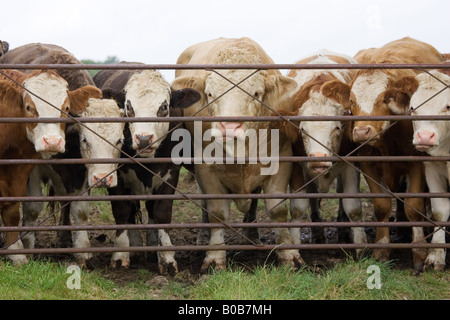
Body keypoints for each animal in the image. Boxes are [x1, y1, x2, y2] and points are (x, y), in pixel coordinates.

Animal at [0, 69, 99, 264]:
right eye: (29, 107)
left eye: (66, 109)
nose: (52, 142)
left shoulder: (20, 169)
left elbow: (12, 209)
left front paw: (15, 251)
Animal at [171, 38, 302, 272]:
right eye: (210, 94)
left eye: (256, 93)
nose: (230, 127)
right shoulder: (206, 169)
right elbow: (217, 212)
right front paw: (215, 256)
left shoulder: (281, 160)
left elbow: (277, 210)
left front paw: (288, 254)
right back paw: (203, 237)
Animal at [286, 50, 368, 255]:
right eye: (302, 129)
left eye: (337, 127)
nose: (318, 160)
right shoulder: (297, 165)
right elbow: (298, 208)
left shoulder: (350, 163)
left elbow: (353, 207)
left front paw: (361, 248)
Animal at [320, 37, 442, 272]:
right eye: (352, 101)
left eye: (385, 99)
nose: (361, 132)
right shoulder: (369, 163)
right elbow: (381, 206)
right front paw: (382, 249)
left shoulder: (417, 162)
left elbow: (414, 206)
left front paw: (419, 252)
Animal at [384, 65, 450, 270]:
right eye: (413, 108)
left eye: (447, 106)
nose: (425, 137)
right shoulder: (432, 167)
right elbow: (440, 209)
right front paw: (436, 255)